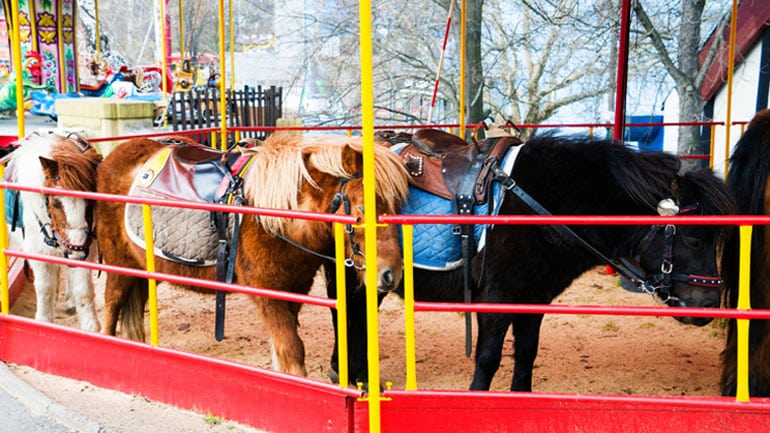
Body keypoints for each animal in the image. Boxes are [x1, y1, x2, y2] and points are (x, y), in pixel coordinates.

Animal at [4, 132, 102, 330]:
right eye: (56, 203)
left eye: (90, 201)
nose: (76, 251)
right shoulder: (38, 253)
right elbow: (45, 288)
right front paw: (43, 321)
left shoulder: (87, 251)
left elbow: (84, 291)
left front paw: (91, 328)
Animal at [94, 134, 408, 374]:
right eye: (362, 208)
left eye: (398, 205)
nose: (390, 274)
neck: (276, 215)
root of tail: (113, 156)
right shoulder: (267, 294)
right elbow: (291, 349)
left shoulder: (294, 290)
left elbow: (281, 351)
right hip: (119, 262)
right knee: (111, 306)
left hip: (143, 267)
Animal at [328, 132, 736, 392]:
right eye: (693, 237)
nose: (709, 304)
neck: (542, 205)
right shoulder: (496, 300)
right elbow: (488, 359)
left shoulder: (533, 301)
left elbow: (525, 356)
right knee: (345, 313)